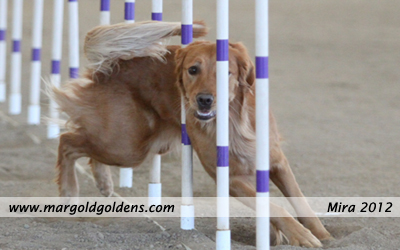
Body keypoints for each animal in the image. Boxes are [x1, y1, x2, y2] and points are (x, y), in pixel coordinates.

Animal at [50, 20, 332, 246]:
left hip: (136, 142)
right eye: (193, 70)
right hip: (128, 145)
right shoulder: (228, 177)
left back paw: (103, 181)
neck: (232, 121)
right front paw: (302, 236)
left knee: (84, 140)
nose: (204, 100)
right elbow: (275, 206)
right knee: (68, 140)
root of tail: (113, 65)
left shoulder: (275, 162)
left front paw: (321, 234)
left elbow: (298, 200)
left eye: (225, 72)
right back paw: (69, 192)